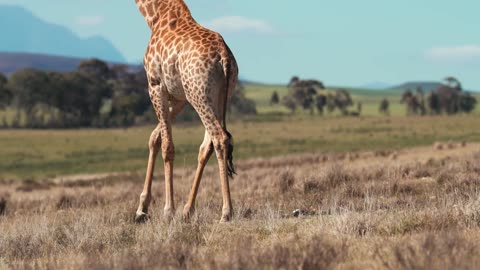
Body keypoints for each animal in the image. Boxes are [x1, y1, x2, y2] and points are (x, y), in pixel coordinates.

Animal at [133, 0, 238, 223]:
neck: (155, 17)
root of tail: (224, 57)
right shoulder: (179, 97)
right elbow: (155, 137)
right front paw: (141, 209)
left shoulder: (155, 85)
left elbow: (167, 146)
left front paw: (167, 210)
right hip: (217, 96)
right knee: (208, 144)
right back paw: (188, 209)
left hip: (199, 95)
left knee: (219, 138)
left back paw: (226, 212)